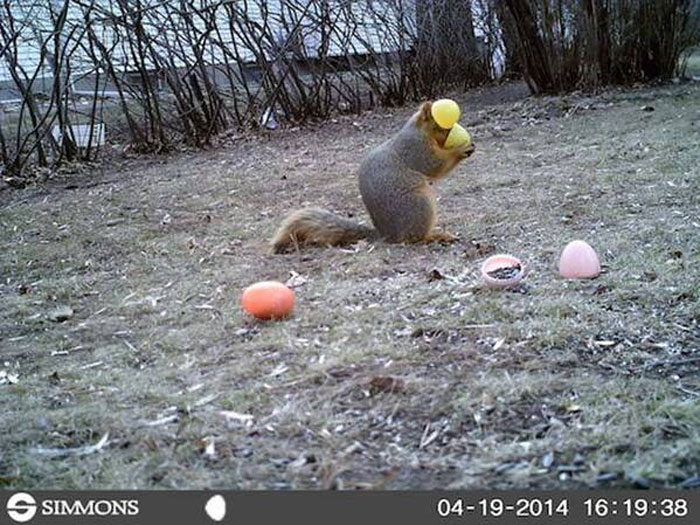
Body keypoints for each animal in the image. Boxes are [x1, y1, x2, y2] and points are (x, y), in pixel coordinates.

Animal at [270, 101, 475, 253]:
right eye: (442, 126)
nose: (457, 133)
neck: (418, 131)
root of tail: (387, 235)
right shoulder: (415, 149)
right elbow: (434, 165)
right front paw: (461, 149)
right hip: (420, 205)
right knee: (415, 238)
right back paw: (436, 236)